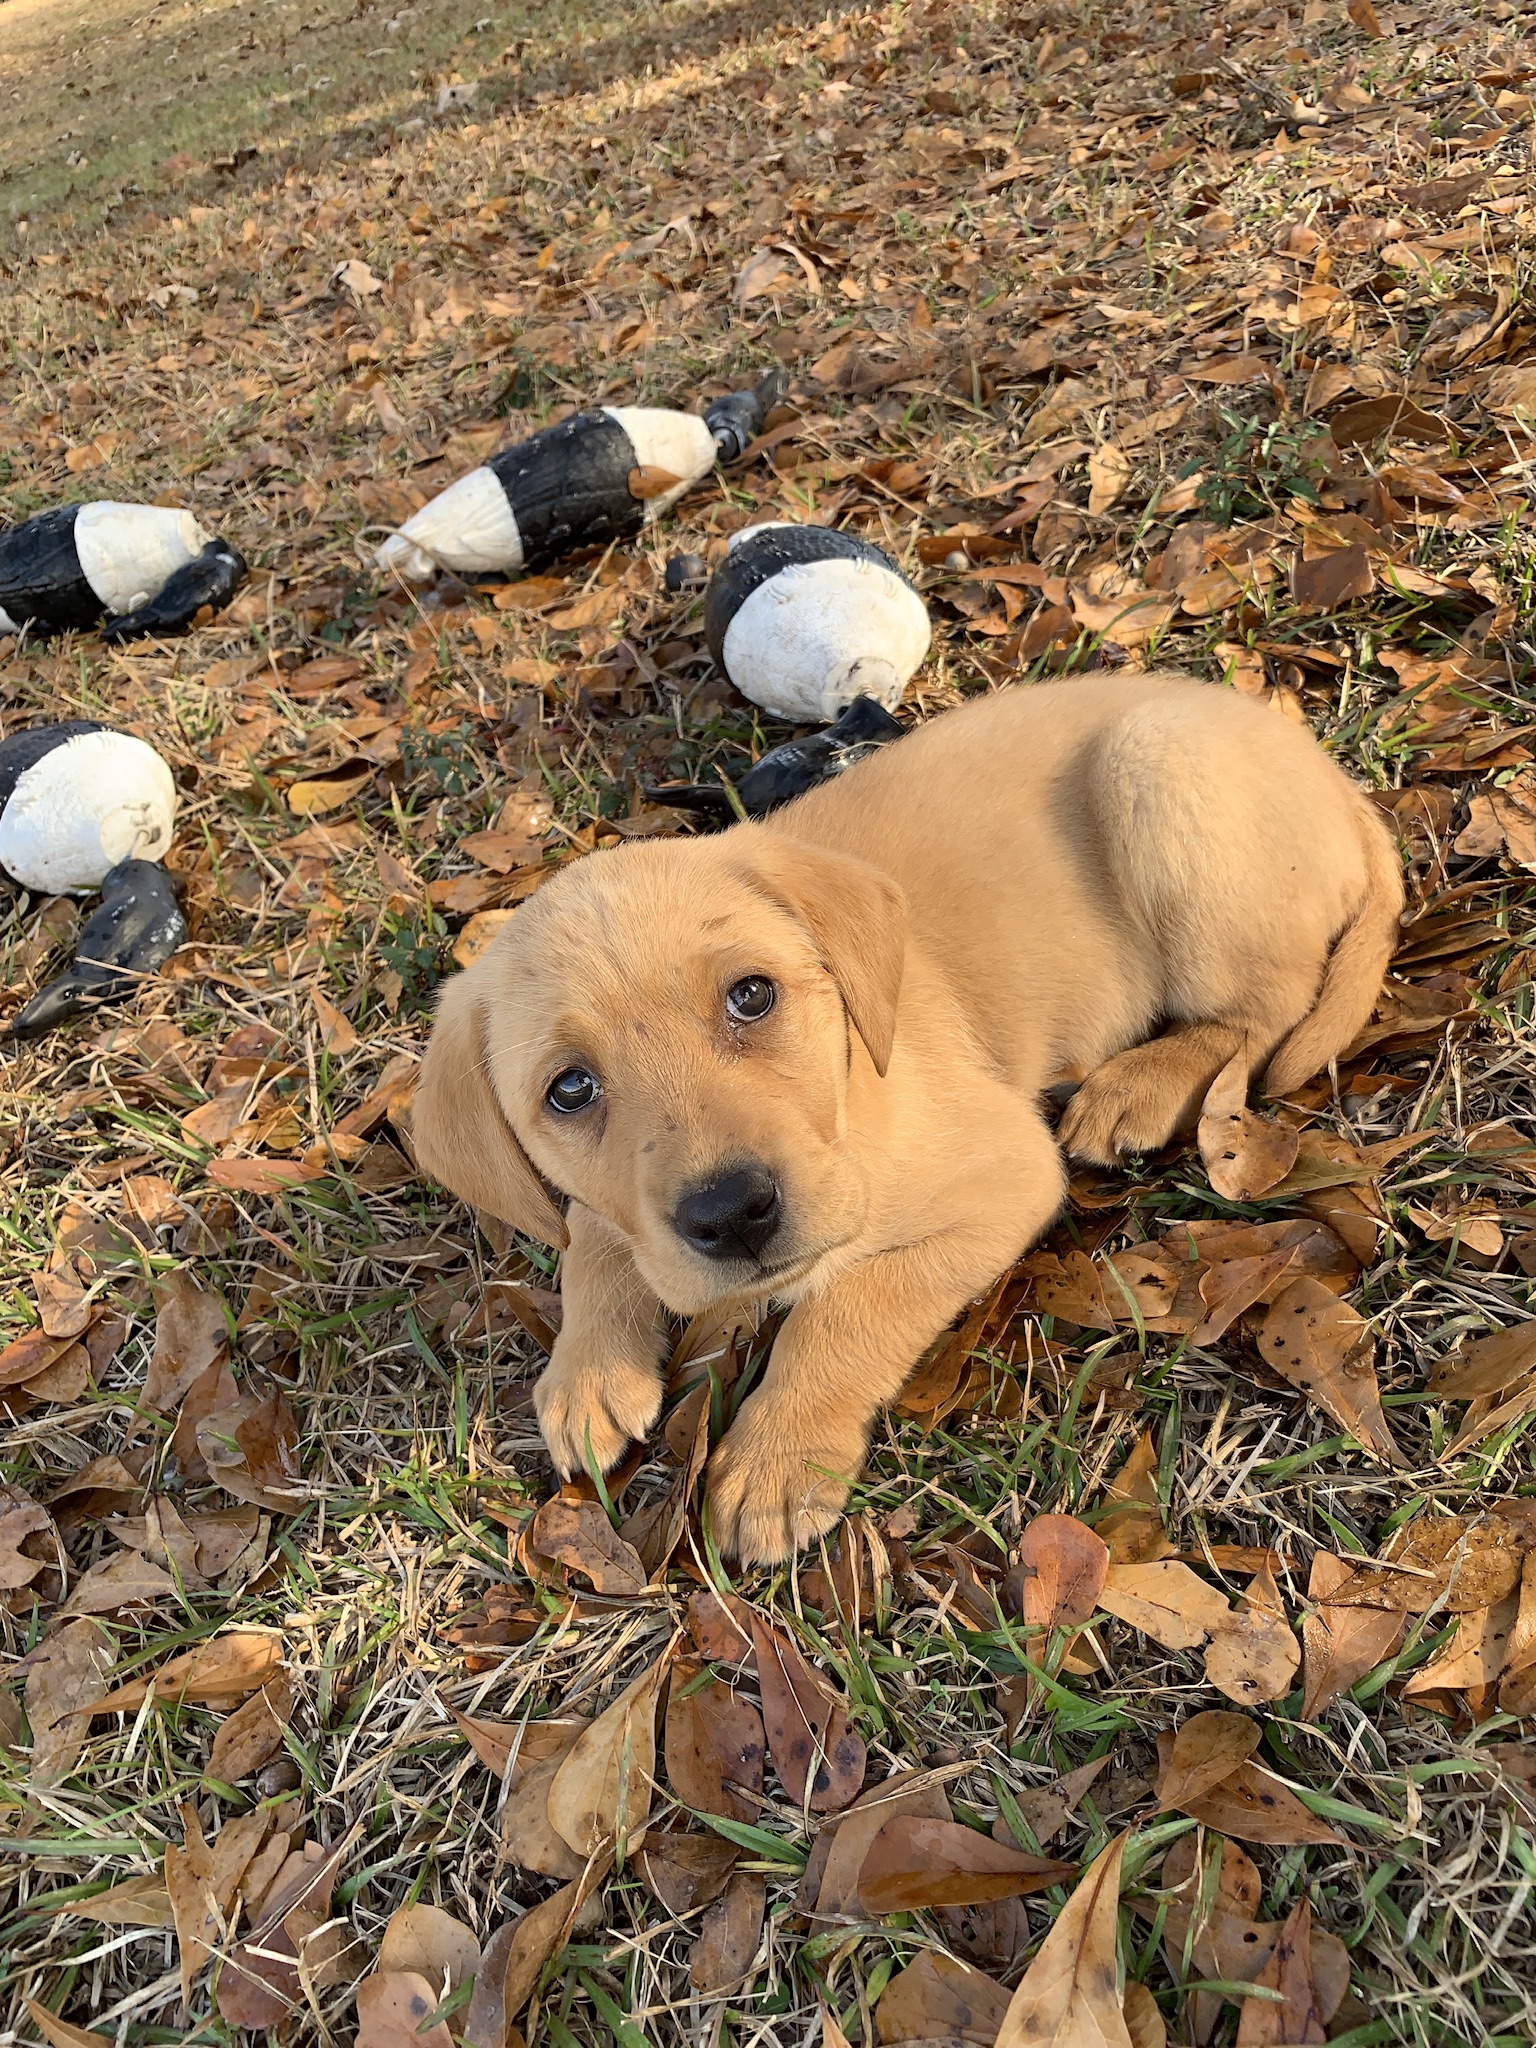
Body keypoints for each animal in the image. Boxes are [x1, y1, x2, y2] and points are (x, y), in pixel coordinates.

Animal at [409, 679, 1409, 1556]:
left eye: (752, 996)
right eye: (569, 1090)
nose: (733, 1214)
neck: (855, 1086)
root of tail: (1330, 774)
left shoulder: (1007, 1174)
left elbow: (849, 1304)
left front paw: (779, 1459)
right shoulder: (617, 1206)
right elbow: (592, 1228)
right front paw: (587, 1370)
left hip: (1156, 767)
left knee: (1266, 1008)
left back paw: (1142, 1085)